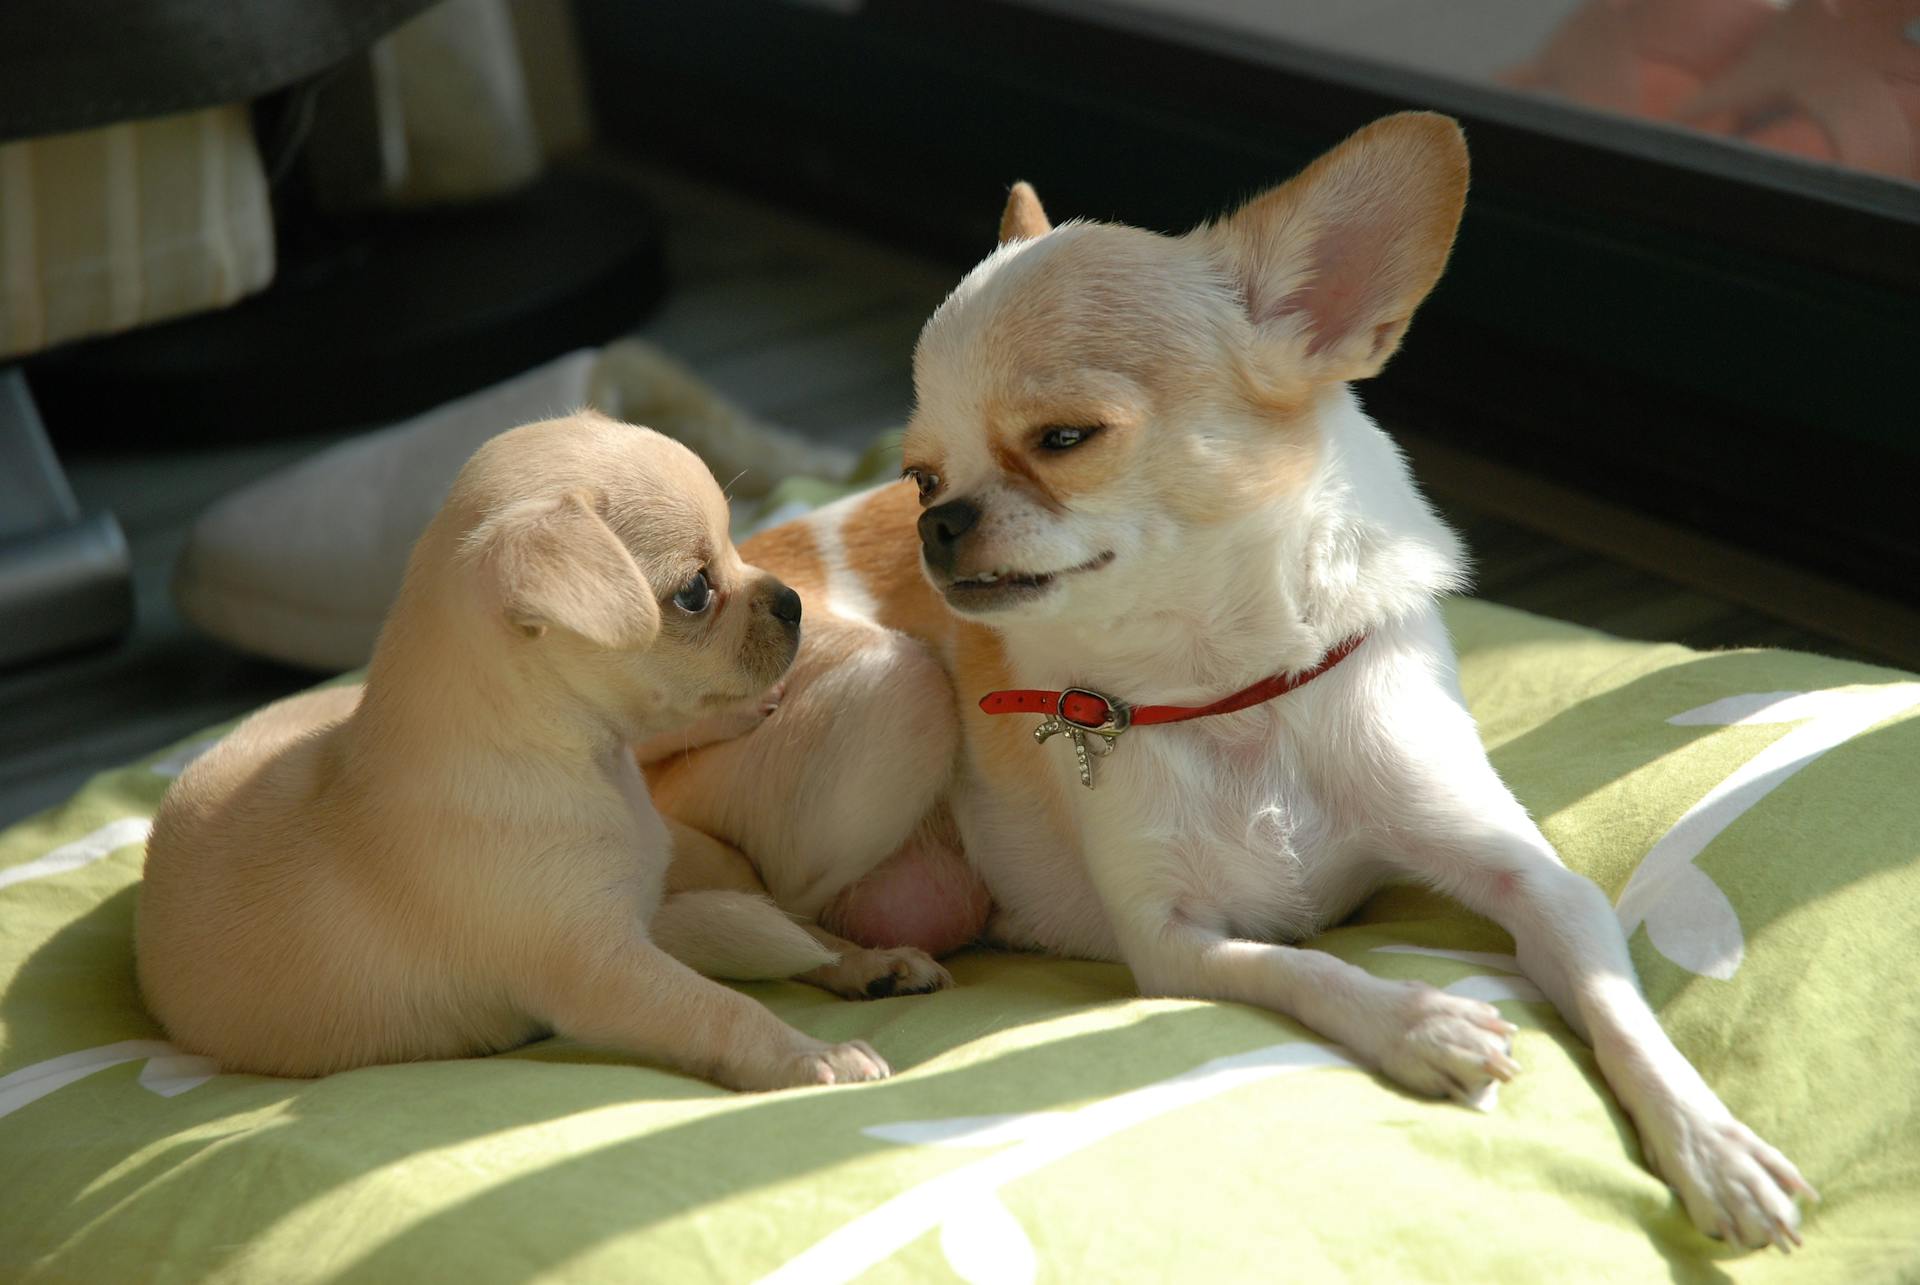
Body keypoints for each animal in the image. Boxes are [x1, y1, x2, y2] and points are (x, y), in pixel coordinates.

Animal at [142, 416, 890, 1091]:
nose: (792, 601)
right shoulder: (603, 971)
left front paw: (851, 971)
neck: (588, 761)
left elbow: (782, 935)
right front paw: (807, 1054)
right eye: (695, 591)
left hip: (693, 848)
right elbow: (720, 1008)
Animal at [648, 117, 1812, 1244]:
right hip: (895, 693)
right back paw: (861, 966)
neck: (1221, 687)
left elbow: (1615, 995)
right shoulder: (1175, 946)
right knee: (746, 916)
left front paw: (1713, 1144)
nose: (936, 521)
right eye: (918, 475)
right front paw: (1419, 1018)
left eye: (1064, 438)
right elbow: (1302, 966)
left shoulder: (1536, 881)